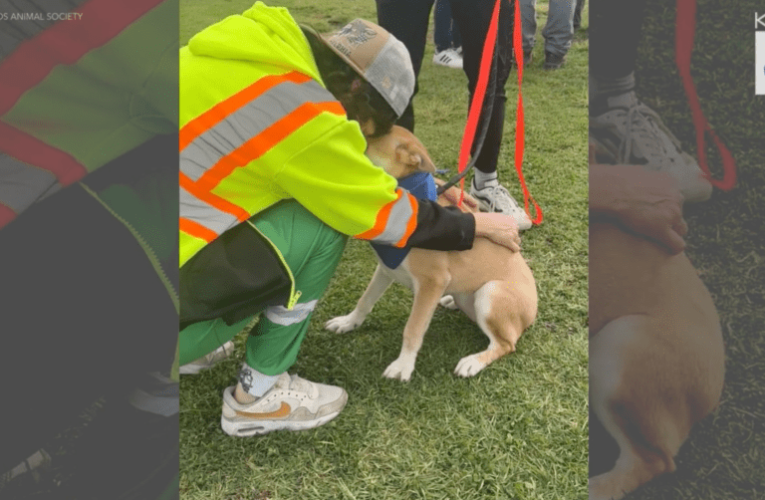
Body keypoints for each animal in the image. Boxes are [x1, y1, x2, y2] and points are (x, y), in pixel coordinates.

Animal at [322, 125, 536, 378]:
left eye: (360, 144)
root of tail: (533, 311)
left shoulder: (432, 282)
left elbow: (413, 327)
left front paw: (403, 366)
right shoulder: (386, 269)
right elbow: (365, 300)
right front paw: (348, 322)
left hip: (491, 292)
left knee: (505, 344)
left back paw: (473, 362)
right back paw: (451, 301)